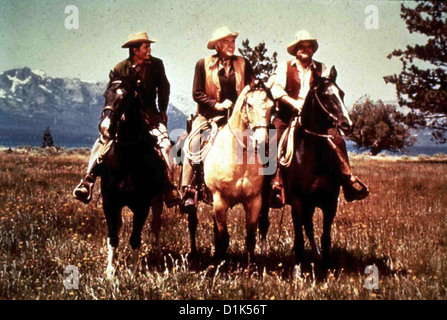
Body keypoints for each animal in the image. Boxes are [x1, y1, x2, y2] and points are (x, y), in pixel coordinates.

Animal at [98, 71, 164, 276]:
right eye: (105, 95)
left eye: (127, 97)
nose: (105, 127)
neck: (126, 159)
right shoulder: (110, 202)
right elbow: (113, 236)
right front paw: (110, 271)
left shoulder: (142, 205)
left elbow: (135, 238)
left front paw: (134, 272)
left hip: (156, 202)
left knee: (156, 226)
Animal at [188, 80, 272, 262]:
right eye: (249, 104)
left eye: (271, 106)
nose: (262, 141)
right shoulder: (220, 201)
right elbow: (224, 237)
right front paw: (222, 263)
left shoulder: (254, 202)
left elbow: (250, 238)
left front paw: (250, 267)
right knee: (192, 223)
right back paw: (193, 253)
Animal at [260, 67, 356, 268]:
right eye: (325, 96)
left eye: (341, 93)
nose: (347, 124)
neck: (313, 156)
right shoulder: (297, 202)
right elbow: (298, 241)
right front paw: (297, 271)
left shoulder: (329, 203)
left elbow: (325, 238)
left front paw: (325, 268)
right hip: (264, 197)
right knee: (264, 223)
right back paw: (263, 254)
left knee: (309, 226)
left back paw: (316, 255)